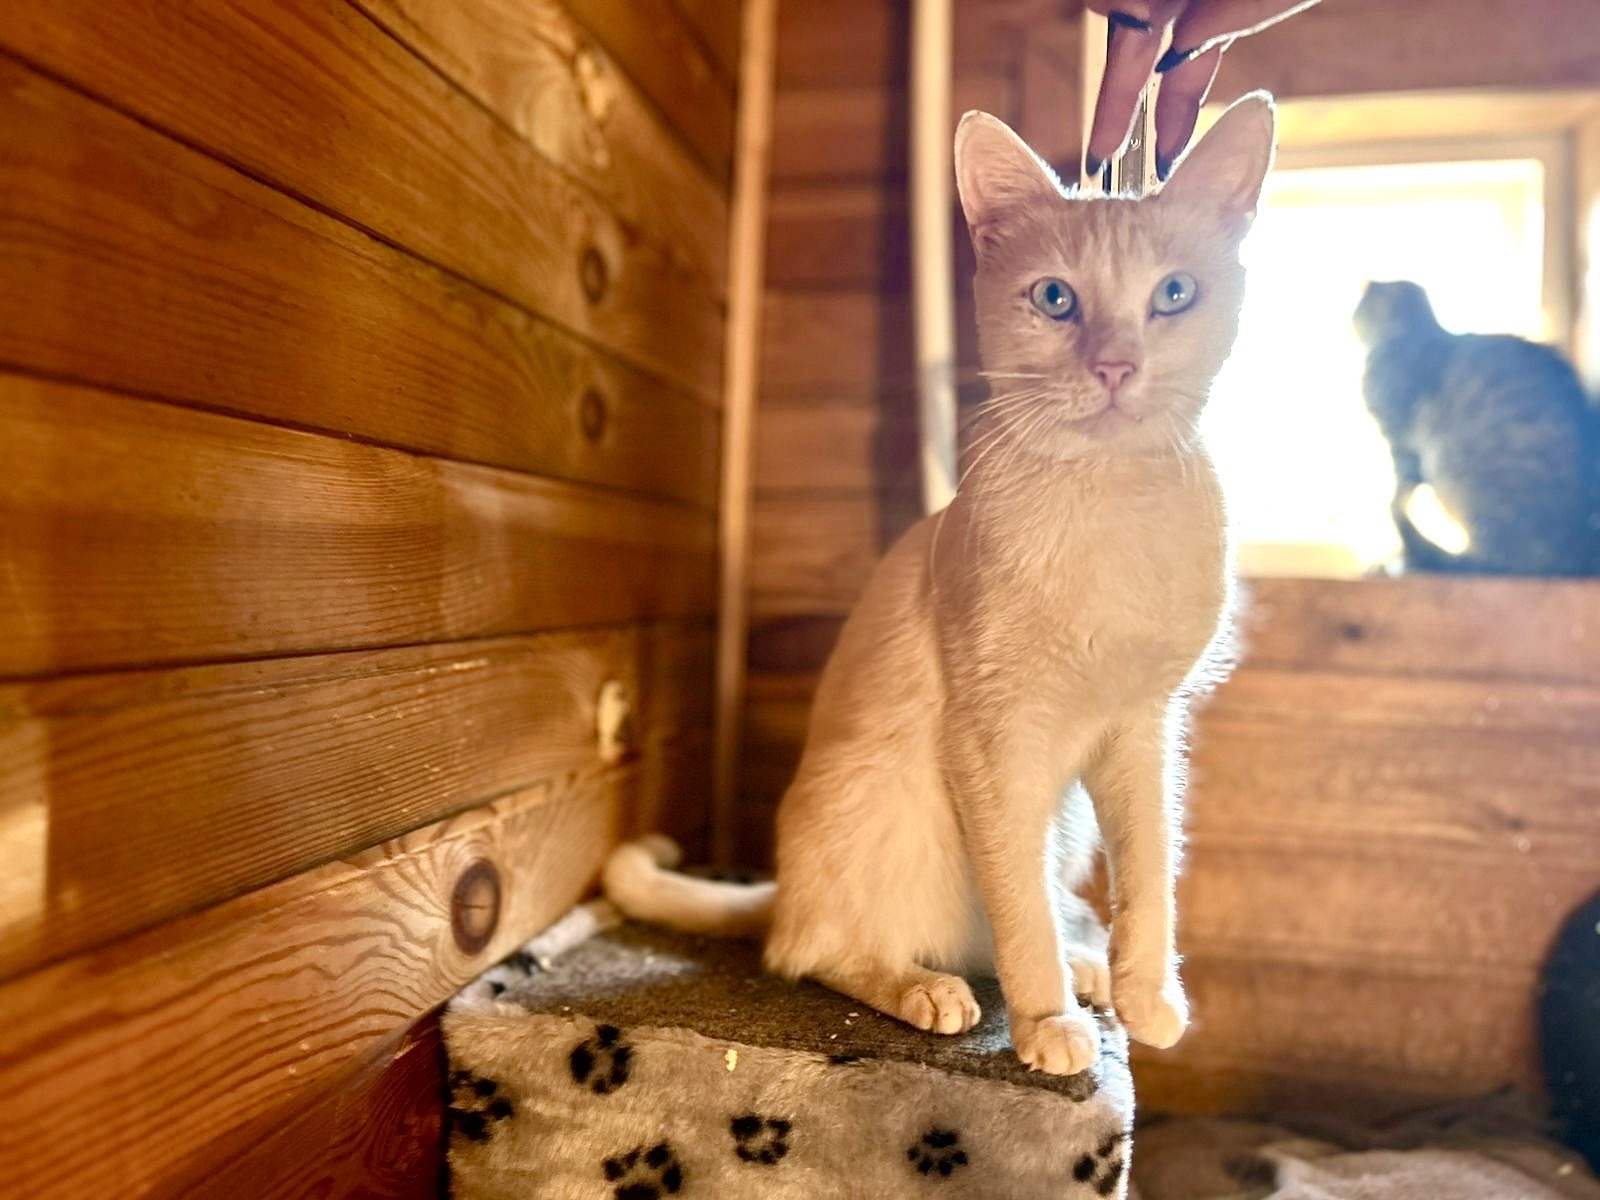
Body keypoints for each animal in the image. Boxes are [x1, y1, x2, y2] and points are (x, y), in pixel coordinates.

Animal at [604, 89, 1280, 1075]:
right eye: (1055, 299)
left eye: (1174, 294)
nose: (1114, 366)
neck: (1111, 505)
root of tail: (782, 882)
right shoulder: (995, 743)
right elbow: (1019, 908)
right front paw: (1045, 1026)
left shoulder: (1142, 733)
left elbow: (1150, 875)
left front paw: (1146, 996)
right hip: (878, 801)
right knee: (813, 951)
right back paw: (928, 990)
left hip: (1066, 820)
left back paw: (1088, 974)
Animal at [1350, 284, 1600, 579]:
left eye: (1360, 305)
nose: (1351, 318)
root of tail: (1580, 555)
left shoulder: (1398, 440)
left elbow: (1401, 487)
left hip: (1452, 468)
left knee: (1497, 562)